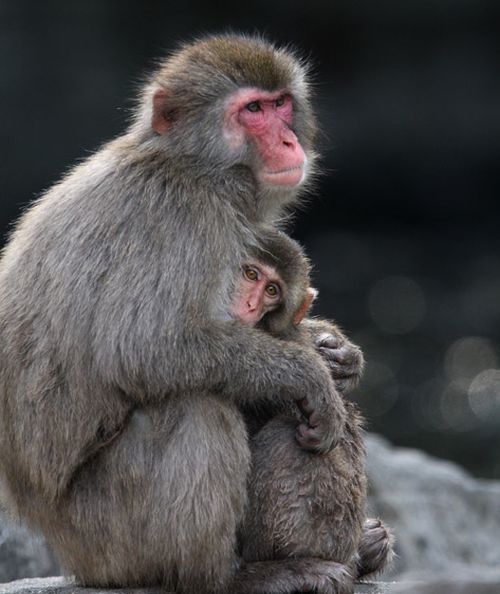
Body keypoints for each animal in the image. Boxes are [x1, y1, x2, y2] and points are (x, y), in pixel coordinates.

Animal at [0, 33, 360, 592]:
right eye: (251, 111)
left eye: (280, 104)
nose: (287, 142)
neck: (193, 166)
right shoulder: (182, 218)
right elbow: (145, 348)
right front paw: (308, 374)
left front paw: (337, 351)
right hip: (107, 539)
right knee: (194, 407)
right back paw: (231, 576)